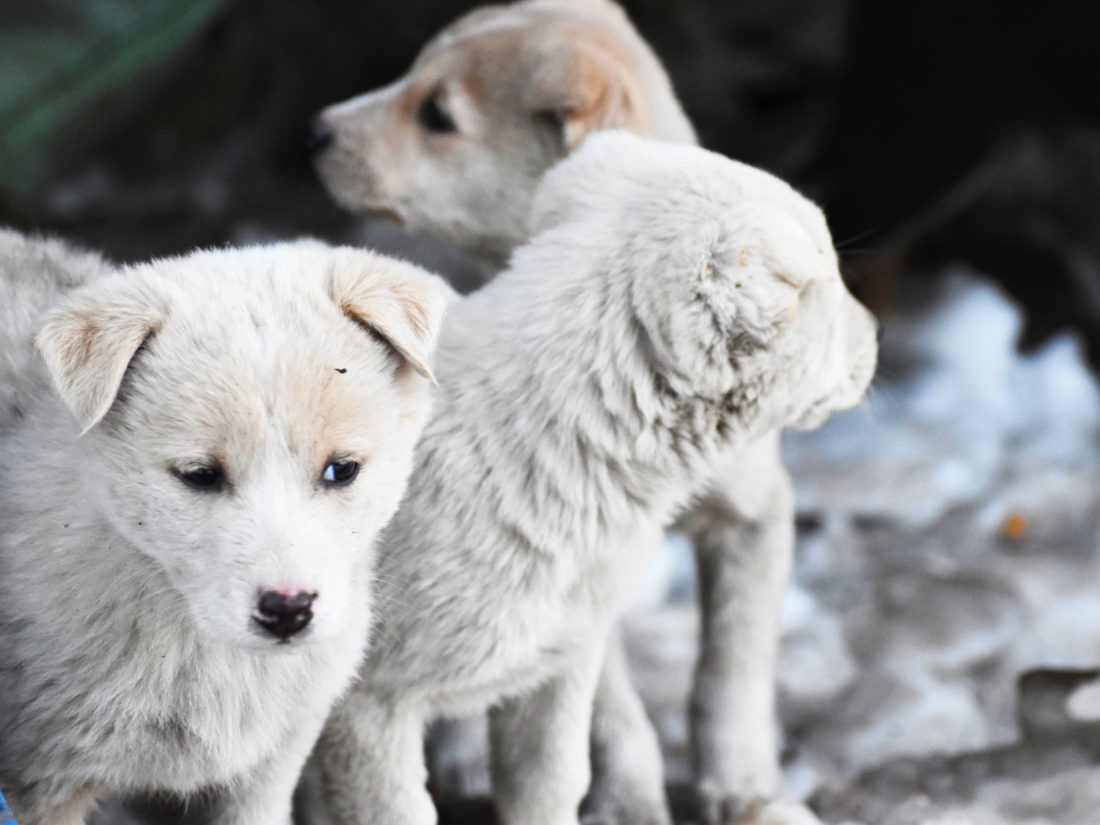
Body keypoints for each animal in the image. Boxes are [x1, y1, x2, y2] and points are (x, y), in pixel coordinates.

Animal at [310, 0, 827, 822]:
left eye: (437, 115)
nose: (314, 131)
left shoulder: (756, 510)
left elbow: (733, 668)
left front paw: (745, 789)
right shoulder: (572, 571)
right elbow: (607, 712)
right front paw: (632, 800)